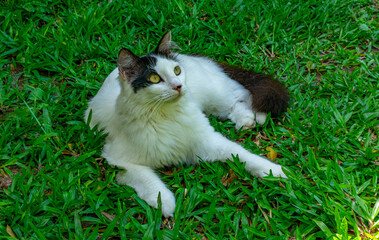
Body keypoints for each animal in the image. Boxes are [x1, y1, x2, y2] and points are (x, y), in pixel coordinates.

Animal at [84, 31, 290, 218]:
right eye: (154, 79)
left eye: (176, 71)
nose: (178, 86)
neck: (165, 115)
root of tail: (190, 56)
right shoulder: (118, 160)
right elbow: (148, 180)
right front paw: (164, 202)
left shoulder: (208, 141)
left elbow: (244, 155)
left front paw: (275, 171)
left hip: (215, 96)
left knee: (241, 95)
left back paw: (256, 117)